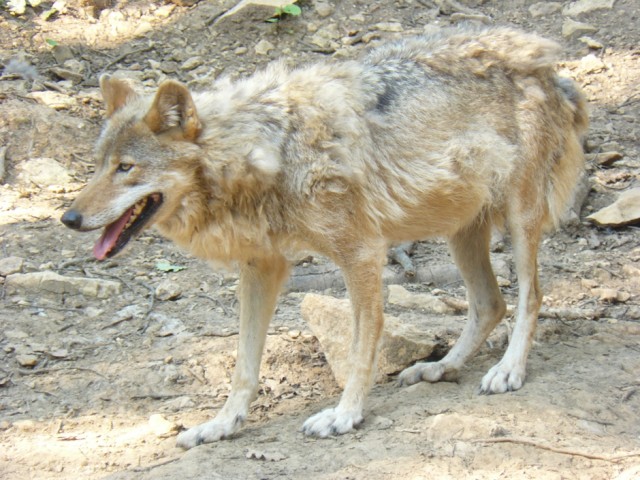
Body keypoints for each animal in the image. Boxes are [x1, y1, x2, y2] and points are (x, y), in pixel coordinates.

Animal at [62, 25, 588, 446]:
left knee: (531, 296)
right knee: (489, 304)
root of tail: (548, 65)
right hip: (461, 232)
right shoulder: (262, 269)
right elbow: (243, 365)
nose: (68, 217)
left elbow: (361, 347)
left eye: (126, 168)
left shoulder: (362, 253)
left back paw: (509, 370)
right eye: (98, 165)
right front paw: (222, 424)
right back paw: (441, 367)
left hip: (519, 220)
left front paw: (344, 415)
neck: (268, 153)